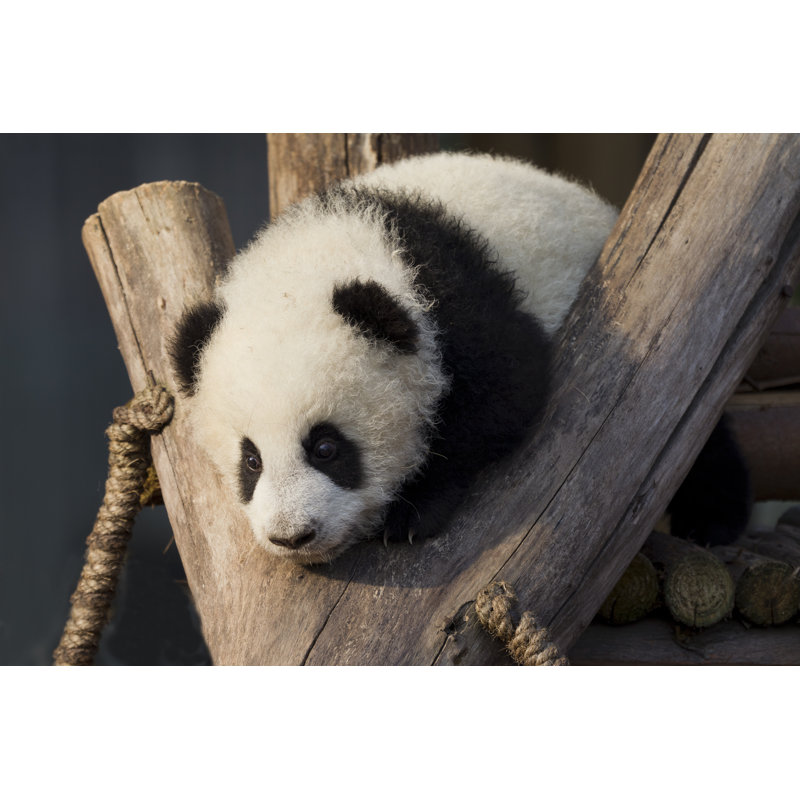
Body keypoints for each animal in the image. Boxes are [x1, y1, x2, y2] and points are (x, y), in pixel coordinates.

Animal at [170, 151, 751, 564]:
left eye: (326, 447)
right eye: (250, 460)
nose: (292, 536)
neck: (321, 255)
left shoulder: (457, 305)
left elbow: (505, 397)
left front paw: (412, 511)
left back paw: (714, 522)